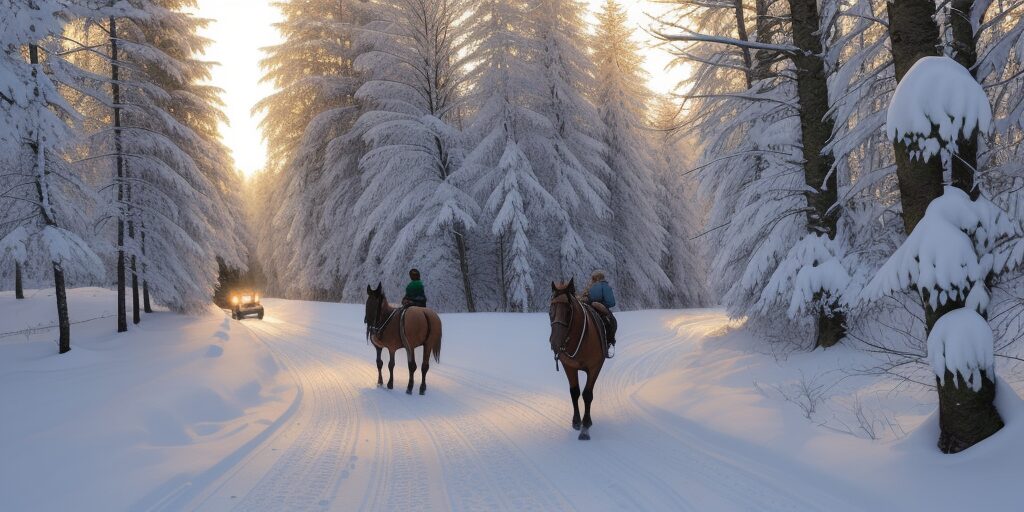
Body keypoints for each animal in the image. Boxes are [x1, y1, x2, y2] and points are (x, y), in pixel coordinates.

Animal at [552, 280, 606, 440]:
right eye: (550, 308)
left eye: (569, 311)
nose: (555, 342)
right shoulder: (568, 366)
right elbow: (574, 392)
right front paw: (576, 422)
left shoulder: (595, 367)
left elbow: (587, 395)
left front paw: (585, 427)